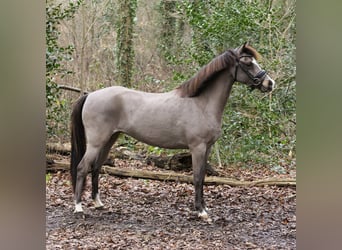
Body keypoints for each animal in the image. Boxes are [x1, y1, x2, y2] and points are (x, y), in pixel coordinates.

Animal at [70, 42, 276, 220]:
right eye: (247, 62)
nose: (270, 83)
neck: (201, 104)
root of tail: (90, 95)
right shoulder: (198, 148)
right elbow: (197, 177)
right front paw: (201, 211)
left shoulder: (207, 148)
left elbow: (203, 177)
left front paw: (205, 208)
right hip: (96, 142)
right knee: (82, 167)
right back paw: (79, 207)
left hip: (110, 139)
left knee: (96, 167)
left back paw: (98, 203)